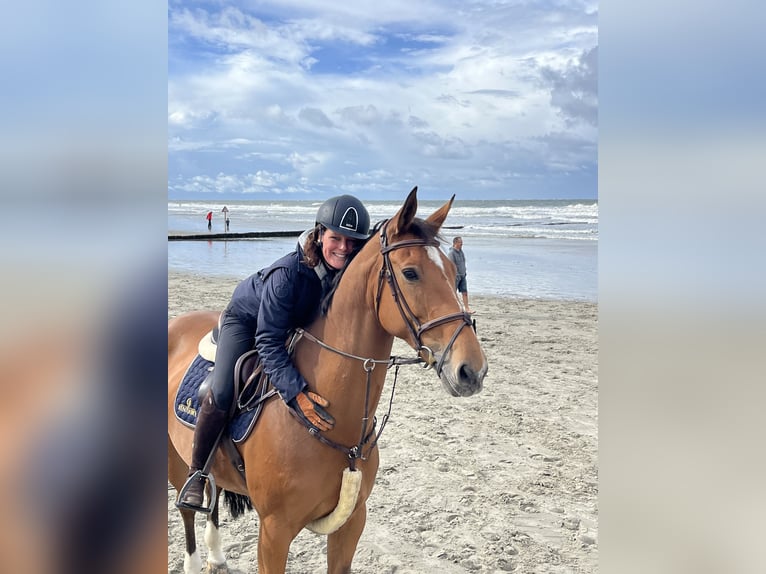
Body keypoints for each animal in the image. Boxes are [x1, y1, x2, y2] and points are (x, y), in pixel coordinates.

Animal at [168, 187, 488, 573]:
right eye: (410, 273)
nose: (472, 370)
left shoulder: (351, 524)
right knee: (188, 505)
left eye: (455, 271)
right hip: (176, 462)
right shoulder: (273, 532)